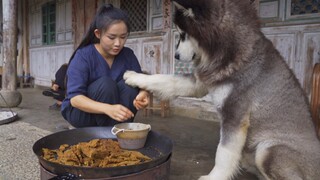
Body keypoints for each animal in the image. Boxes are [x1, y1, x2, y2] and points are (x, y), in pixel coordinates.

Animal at [124, 0, 320, 179]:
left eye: (183, 34)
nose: (176, 55)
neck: (231, 51)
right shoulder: (200, 82)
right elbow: (165, 80)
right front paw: (134, 76)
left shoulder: (235, 114)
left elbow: (224, 153)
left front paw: (214, 177)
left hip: (267, 149)